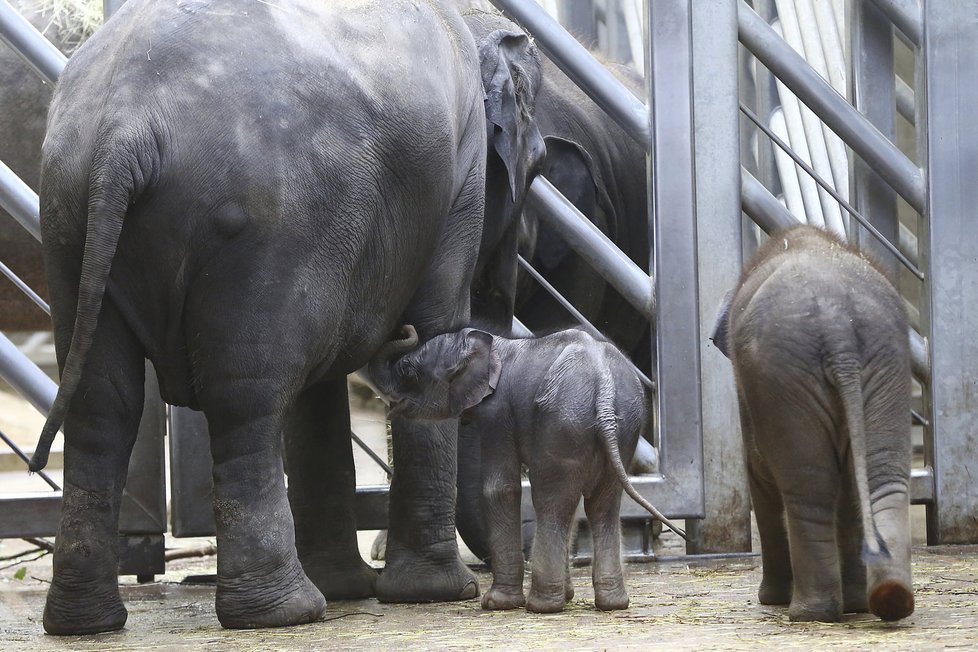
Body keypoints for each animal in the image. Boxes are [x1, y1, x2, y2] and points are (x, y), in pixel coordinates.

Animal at [32, 0, 540, 636]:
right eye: (538, 164)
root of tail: (127, 126)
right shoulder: (459, 178)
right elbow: (433, 326)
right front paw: (435, 593)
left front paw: (356, 588)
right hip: (266, 223)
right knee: (244, 396)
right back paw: (286, 612)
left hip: (68, 220)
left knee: (102, 404)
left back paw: (86, 622)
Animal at [370, 328, 684, 612]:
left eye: (408, 369)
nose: (406, 328)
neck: (493, 344)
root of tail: (603, 384)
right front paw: (567, 596)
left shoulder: (497, 412)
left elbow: (499, 488)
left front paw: (495, 604)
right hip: (624, 426)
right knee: (601, 505)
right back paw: (612, 604)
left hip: (562, 423)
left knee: (550, 499)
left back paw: (542, 606)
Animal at [712, 227, 912, 624]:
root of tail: (839, 328)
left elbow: (759, 478)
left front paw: (769, 600)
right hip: (886, 363)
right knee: (877, 480)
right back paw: (884, 599)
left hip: (783, 377)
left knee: (809, 488)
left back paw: (808, 613)